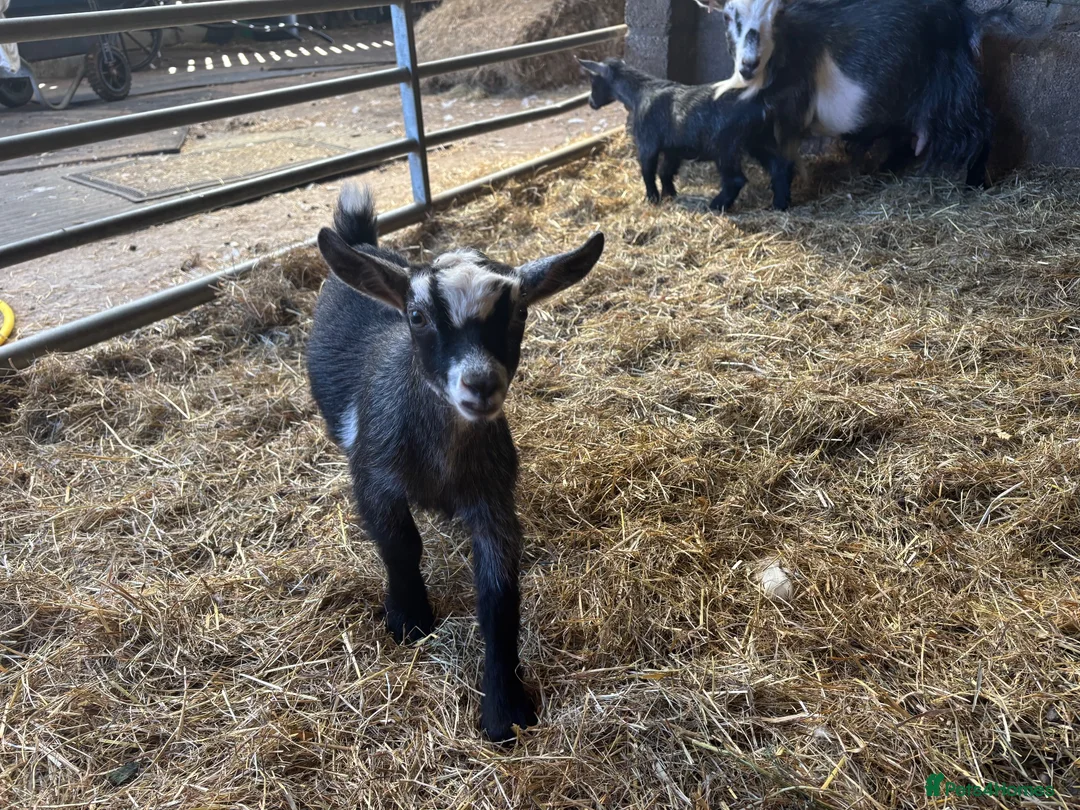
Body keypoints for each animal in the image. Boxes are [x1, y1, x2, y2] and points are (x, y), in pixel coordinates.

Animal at [307, 183, 605, 743]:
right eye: (417, 316)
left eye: (519, 313)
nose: (480, 384)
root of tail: (362, 243)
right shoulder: (373, 476)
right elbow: (400, 544)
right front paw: (409, 620)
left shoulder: (494, 498)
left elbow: (499, 592)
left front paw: (505, 709)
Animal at [578, 57, 794, 212]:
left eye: (593, 80)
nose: (590, 102)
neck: (640, 93)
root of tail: (760, 101)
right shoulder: (672, 149)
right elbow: (665, 171)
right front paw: (669, 194)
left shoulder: (647, 143)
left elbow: (648, 171)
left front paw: (652, 198)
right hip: (759, 139)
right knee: (780, 166)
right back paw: (779, 204)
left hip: (725, 145)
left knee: (736, 179)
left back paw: (716, 205)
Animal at [698, 0, 1024, 186]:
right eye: (727, 17)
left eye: (777, 15)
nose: (749, 64)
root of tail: (966, 18)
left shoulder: (788, 109)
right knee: (907, 140)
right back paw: (883, 171)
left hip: (953, 93)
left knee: (983, 129)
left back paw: (974, 182)